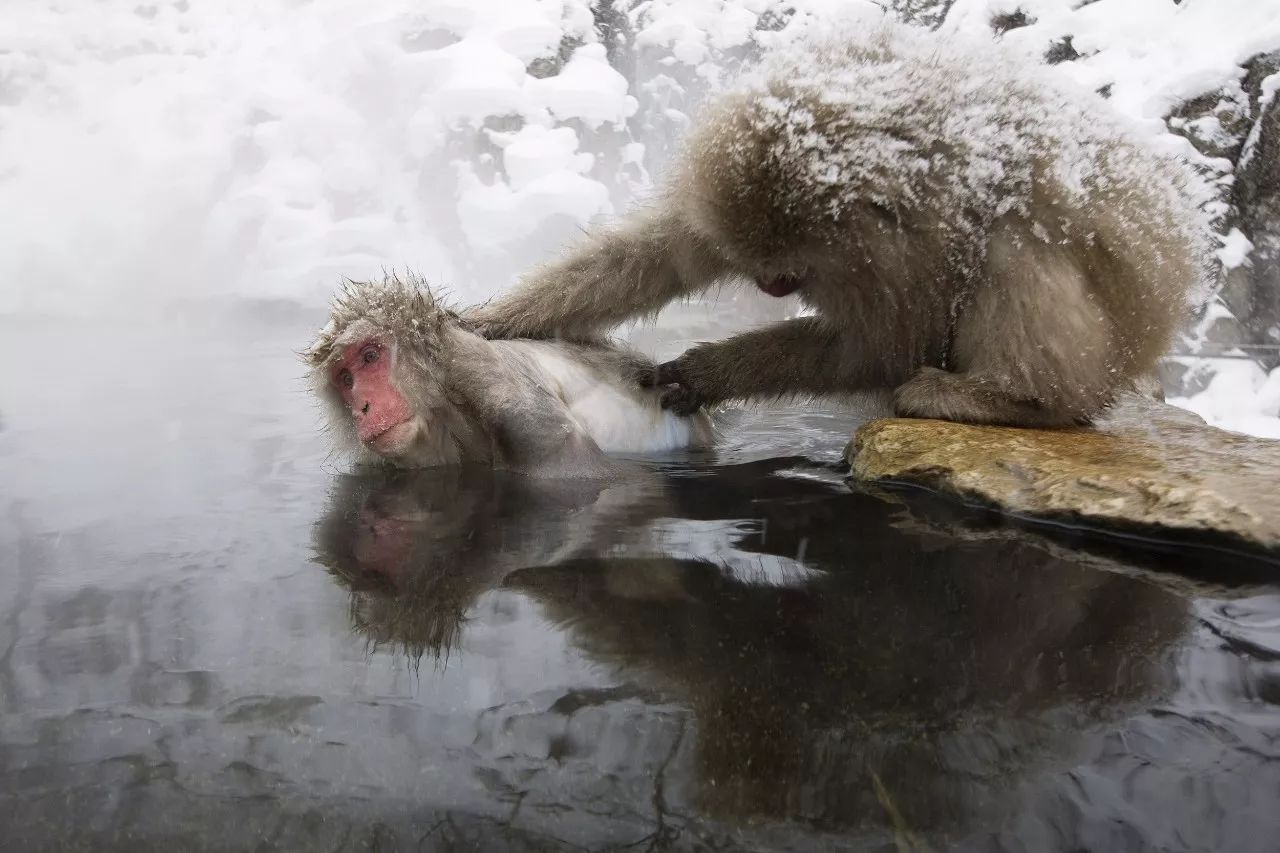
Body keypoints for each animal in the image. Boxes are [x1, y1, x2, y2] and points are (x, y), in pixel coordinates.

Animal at [305, 274, 716, 473]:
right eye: (345, 379)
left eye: (370, 356)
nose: (362, 407)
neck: (447, 410)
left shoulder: (484, 372)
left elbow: (572, 467)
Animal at [468, 24, 1208, 425]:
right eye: (761, 266)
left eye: (789, 267)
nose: (770, 287)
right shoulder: (716, 194)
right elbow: (654, 257)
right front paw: (491, 318)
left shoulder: (910, 251)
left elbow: (884, 345)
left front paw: (711, 371)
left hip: (1118, 339)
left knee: (1014, 239)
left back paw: (1016, 400)